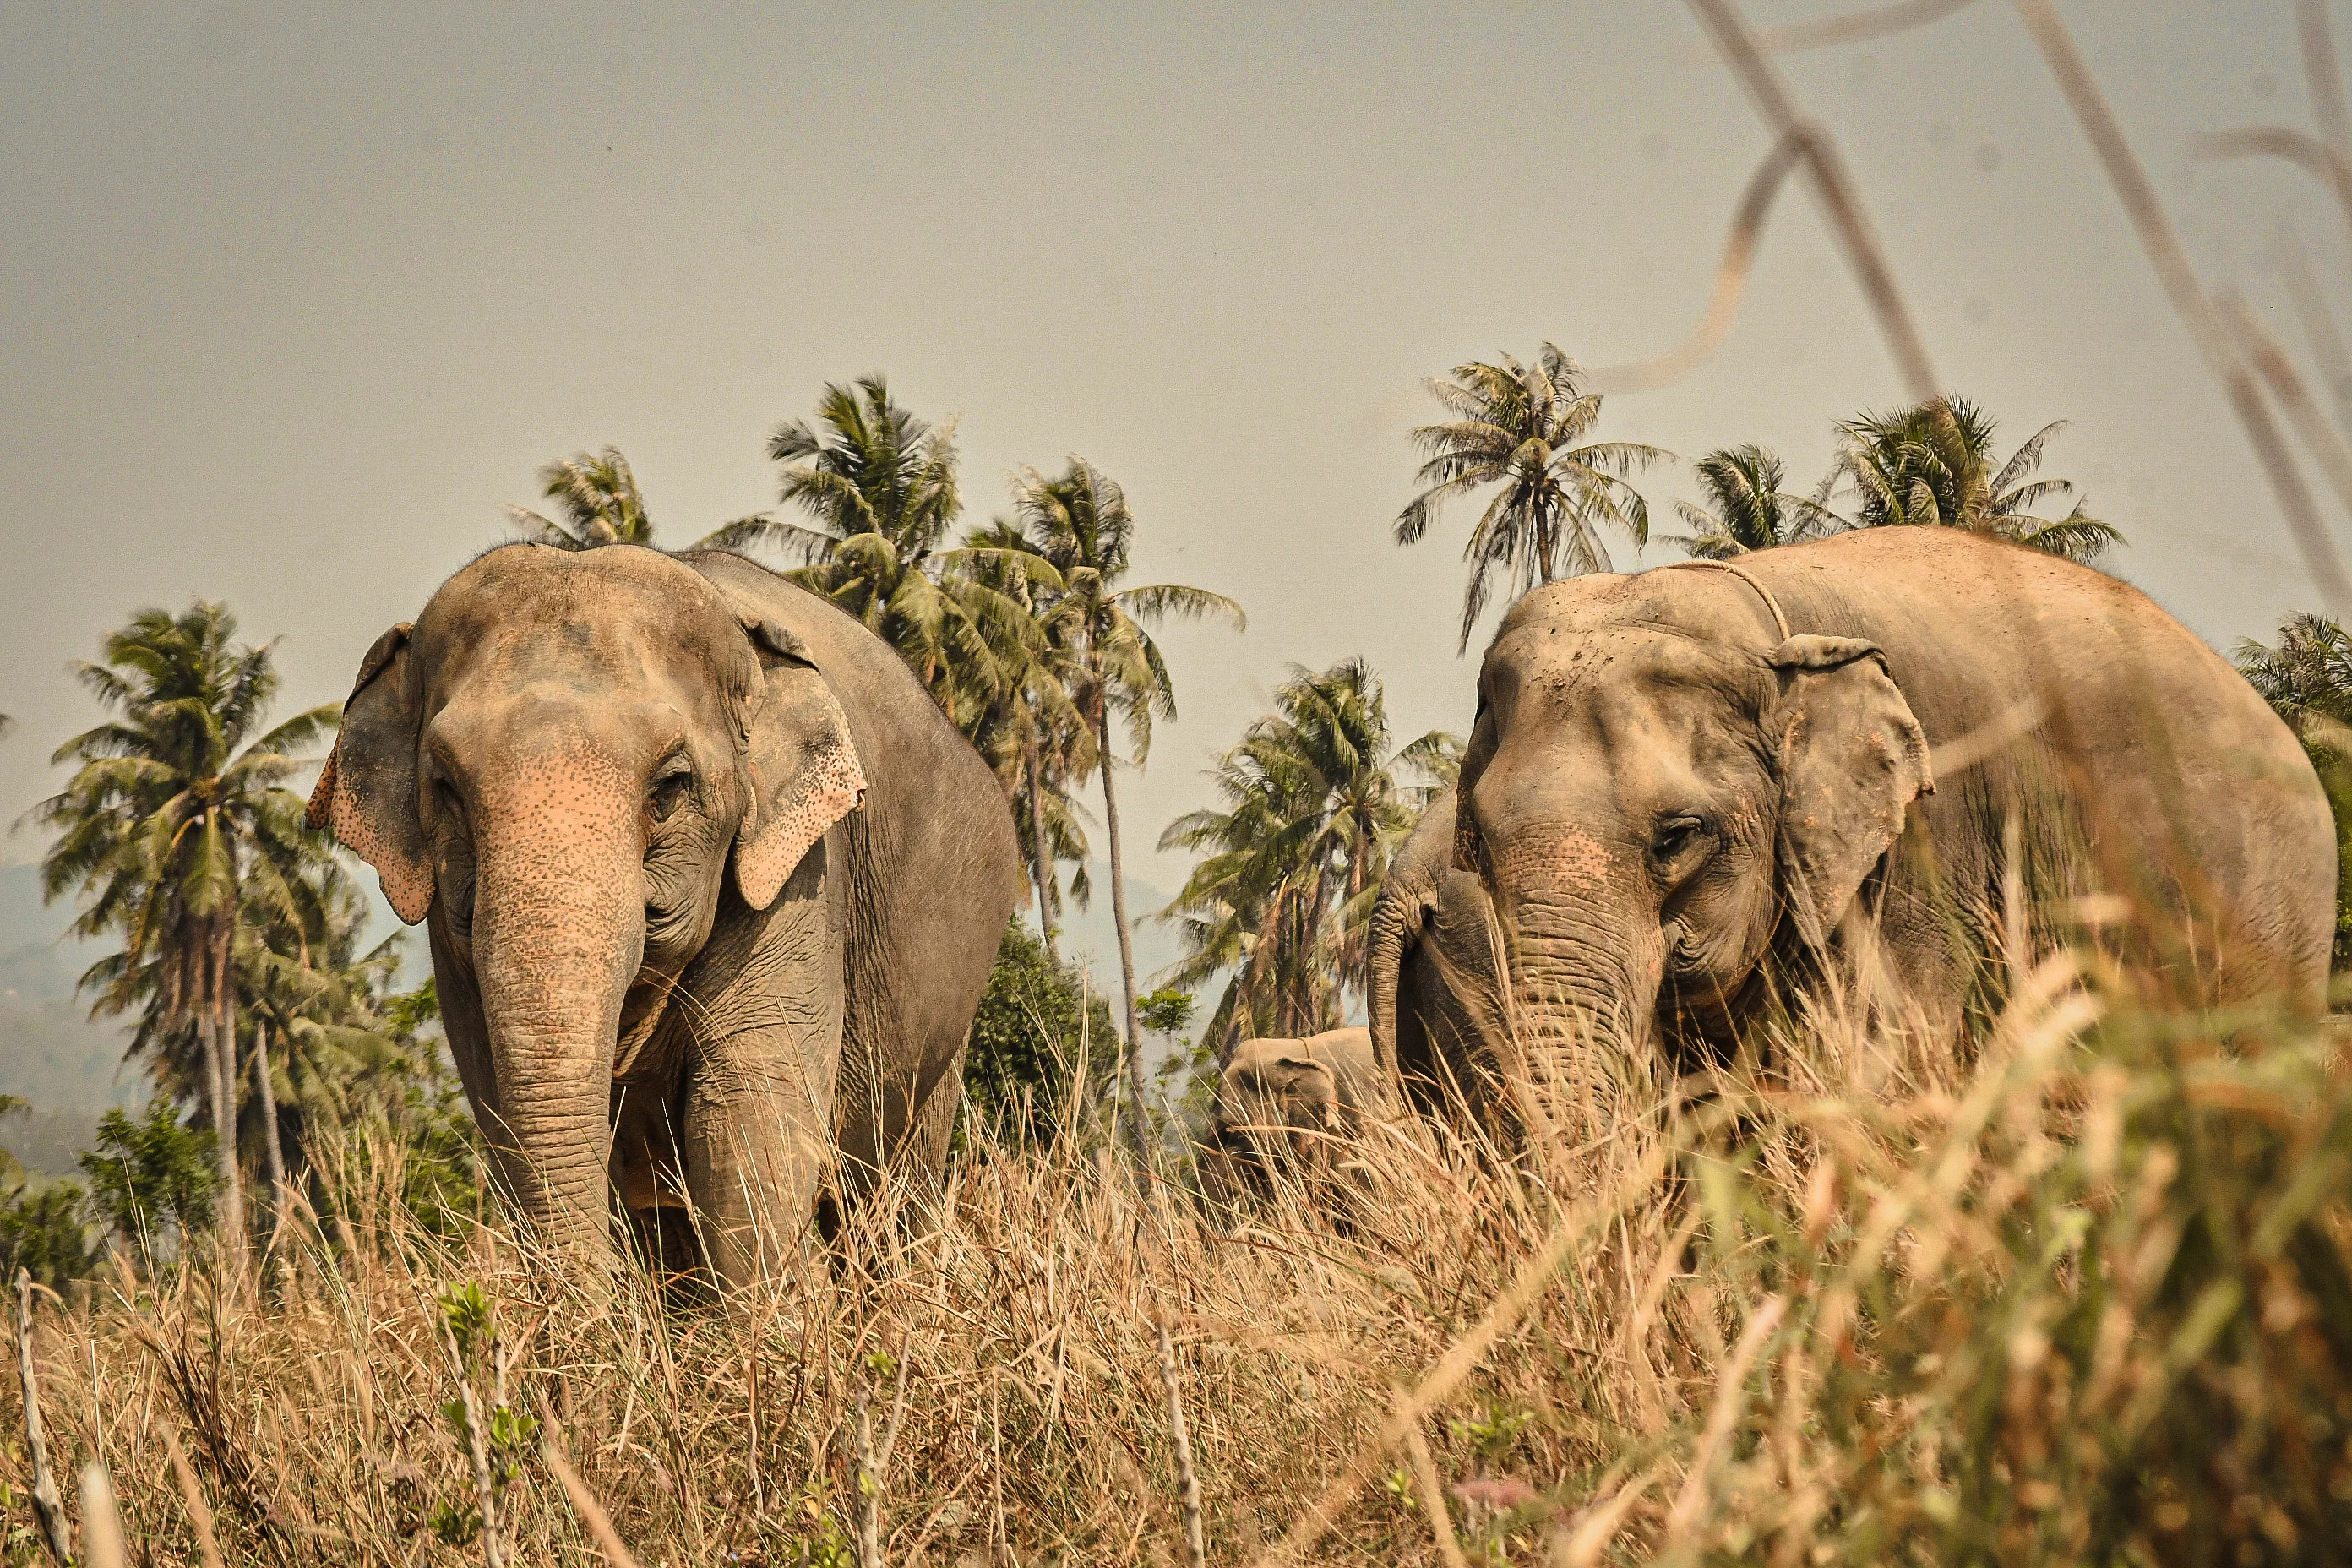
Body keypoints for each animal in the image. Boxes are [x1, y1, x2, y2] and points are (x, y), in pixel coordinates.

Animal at [310, 545, 1021, 1278]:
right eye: (447, 789)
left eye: (671, 788)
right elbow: (502, 1109)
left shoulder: (801, 876)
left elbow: (745, 1119)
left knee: (893, 1188)